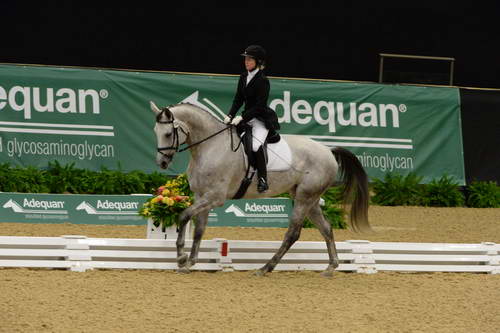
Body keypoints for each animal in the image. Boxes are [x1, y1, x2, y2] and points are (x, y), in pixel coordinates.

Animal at [150, 100, 370, 274]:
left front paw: (181, 258)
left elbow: (183, 216)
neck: (210, 146)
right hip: (309, 198)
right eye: (155, 132)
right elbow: (199, 229)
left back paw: (266, 268)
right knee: (326, 228)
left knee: (293, 233)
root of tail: (328, 150)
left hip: (304, 197)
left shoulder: (215, 197)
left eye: (168, 134)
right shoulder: (200, 195)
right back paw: (331, 267)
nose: (162, 163)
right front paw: (190, 262)